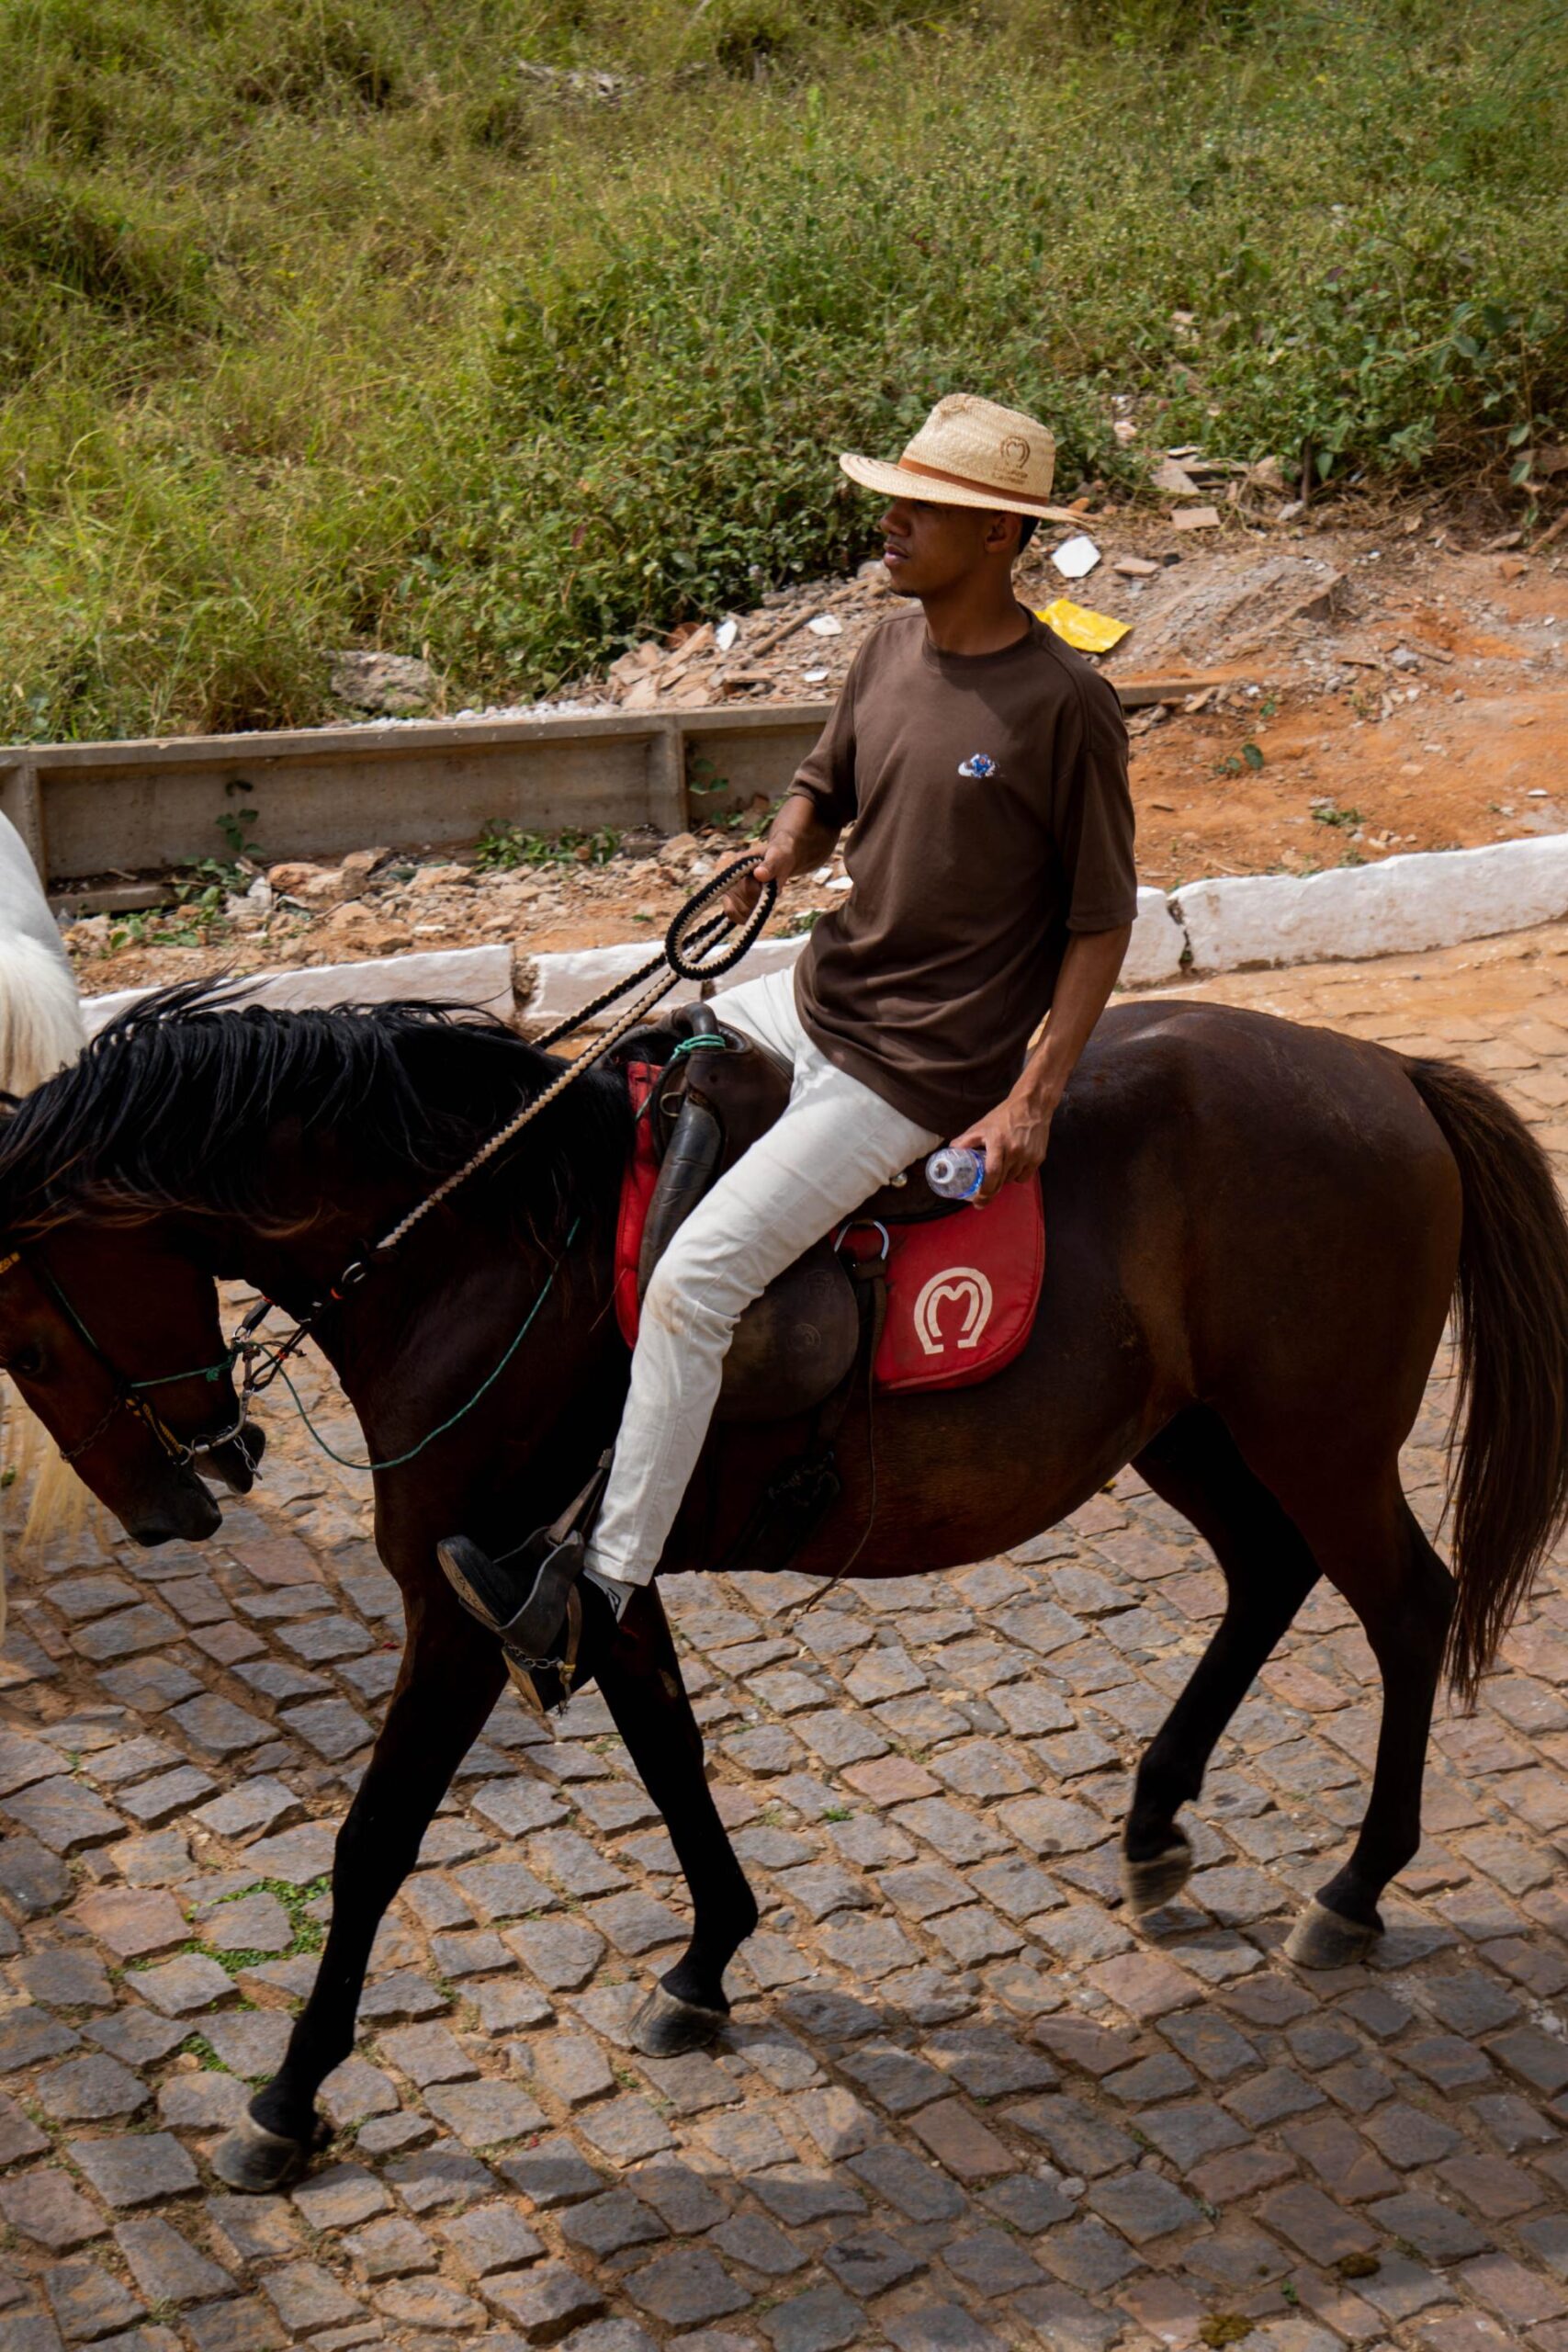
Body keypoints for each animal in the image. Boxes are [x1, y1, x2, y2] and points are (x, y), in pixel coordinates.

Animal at [0, 982, 1564, 2196]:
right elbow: (669, 1751)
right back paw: (1154, 1820)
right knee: (1265, 1575)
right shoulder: (589, 1580)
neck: (475, 1248)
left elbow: (374, 1841)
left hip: (1316, 1434)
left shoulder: (458, 1604)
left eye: (20, 1333)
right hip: (1189, 1430)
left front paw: (286, 2099)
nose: (175, 1502)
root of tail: (1383, 1074)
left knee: (1404, 1608)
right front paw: (706, 1960)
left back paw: (1353, 1885)